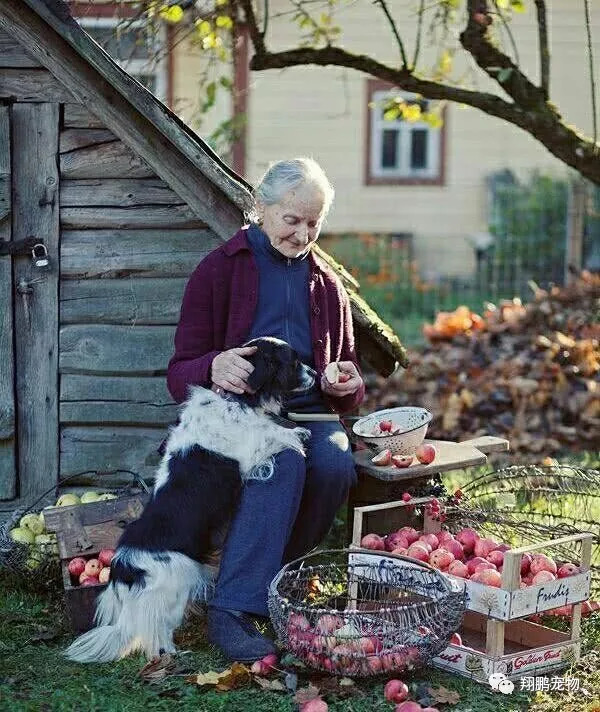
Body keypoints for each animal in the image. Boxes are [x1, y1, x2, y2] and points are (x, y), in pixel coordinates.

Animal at [65, 338, 314, 660]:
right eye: (294, 362)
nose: (315, 373)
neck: (236, 400)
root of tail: (126, 572)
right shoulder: (251, 449)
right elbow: (273, 432)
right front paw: (299, 433)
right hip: (178, 581)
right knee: (156, 634)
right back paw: (172, 653)